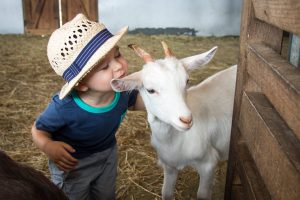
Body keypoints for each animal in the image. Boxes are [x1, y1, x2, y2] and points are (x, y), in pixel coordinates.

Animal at [110, 41, 237, 199]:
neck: (174, 141)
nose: (186, 120)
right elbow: (166, 192)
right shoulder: (169, 166)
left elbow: (202, 194)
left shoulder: (208, 164)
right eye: (150, 90)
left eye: (187, 81)